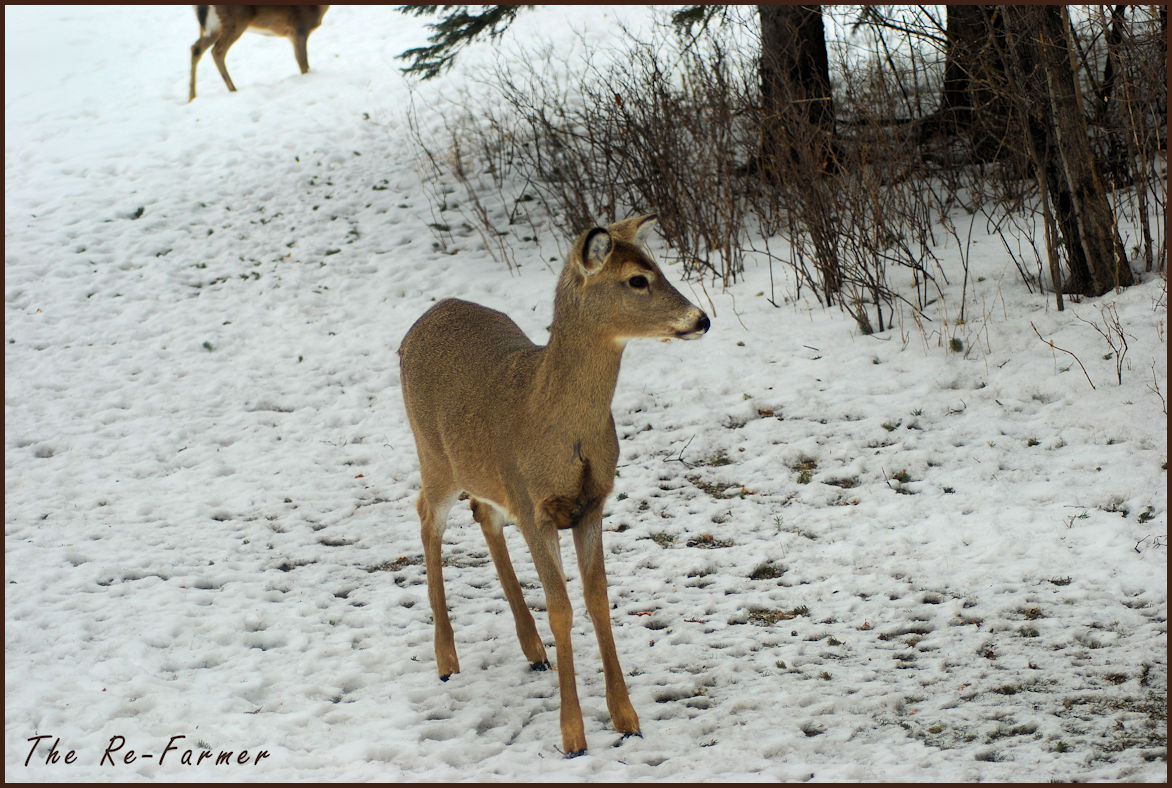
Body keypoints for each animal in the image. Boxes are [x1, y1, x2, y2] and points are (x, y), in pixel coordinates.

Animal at [188, 5, 328, 102]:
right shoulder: (299, 28)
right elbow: (303, 62)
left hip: (212, 27)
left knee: (196, 48)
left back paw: (192, 97)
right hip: (234, 21)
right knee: (217, 51)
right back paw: (233, 89)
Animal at [398, 214, 710, 757]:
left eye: (658, 267)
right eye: (637, 279)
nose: (701, 319)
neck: (558, 426)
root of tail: (425, 317)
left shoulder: (592, 504)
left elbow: (597, 600)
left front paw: (627, 718)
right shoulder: (535, 508)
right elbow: (562, 608)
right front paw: (573, 735)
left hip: (485, 476)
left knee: (483, 514)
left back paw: (533, 649)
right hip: (435, 456)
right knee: (426, 517)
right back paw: (446, 660)